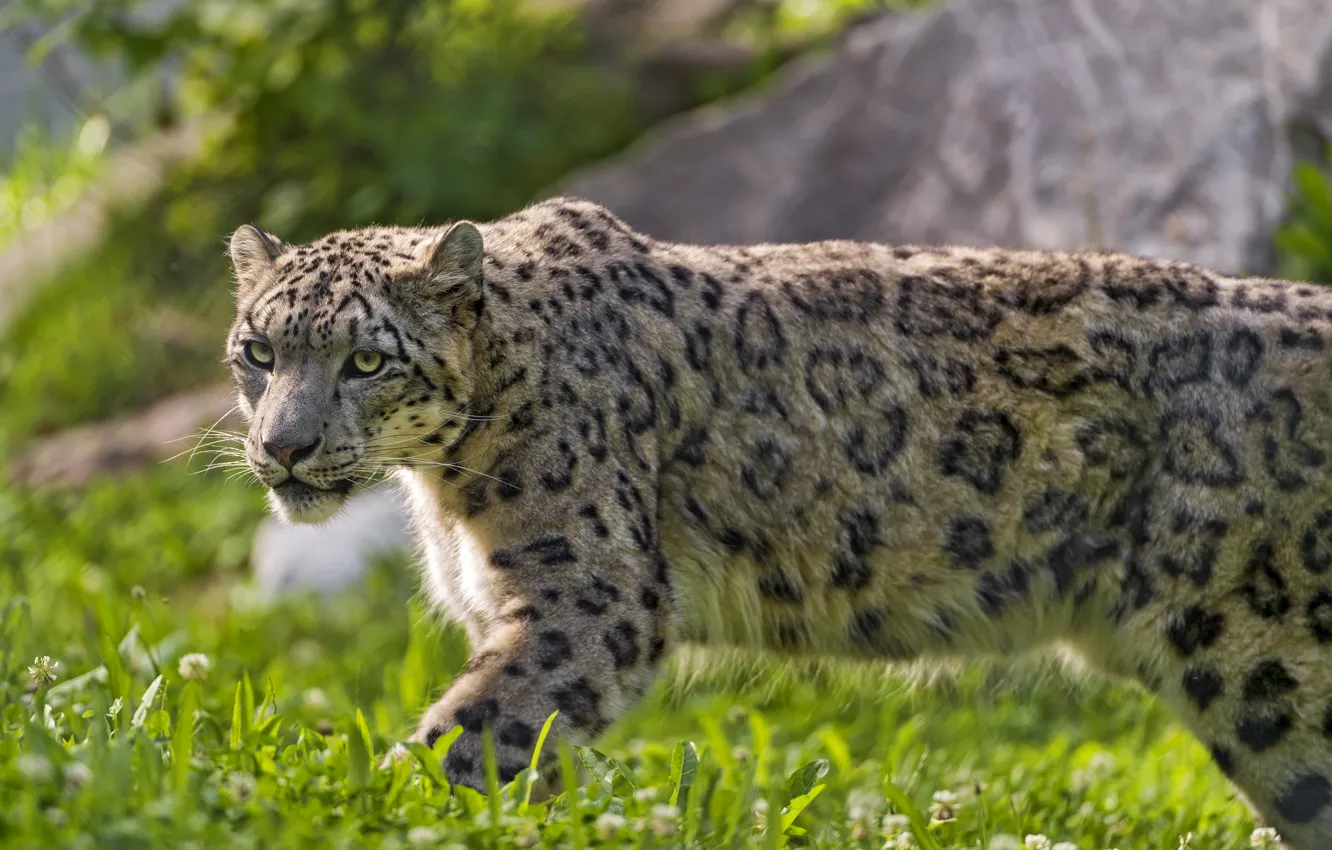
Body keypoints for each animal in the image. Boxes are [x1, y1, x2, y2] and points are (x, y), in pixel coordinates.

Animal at [226, 195, 1332, 848]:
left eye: (367, 359)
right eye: (258, 351)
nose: (283, 447)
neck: (444, 484)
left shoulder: (583, 597)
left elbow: (468, 737)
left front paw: (369, 814)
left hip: (1266, 662)